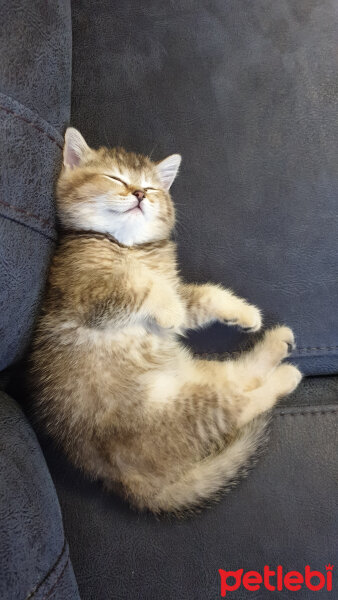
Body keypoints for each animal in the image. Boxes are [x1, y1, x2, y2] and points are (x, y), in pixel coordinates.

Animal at [27, 129, 302, 512]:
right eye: (116, 178)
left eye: (151, 187)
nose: (140, 194)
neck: (128, 248)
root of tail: (130, 484)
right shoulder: (86, 292)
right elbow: (140, 287)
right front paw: (168, 306)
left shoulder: (171, 294)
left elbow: (201, 297)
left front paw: (244, 312)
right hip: (174, 413)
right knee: (236, 402)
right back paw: (284, 376)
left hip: (193, 377)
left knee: (238, 378)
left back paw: (276, 344)